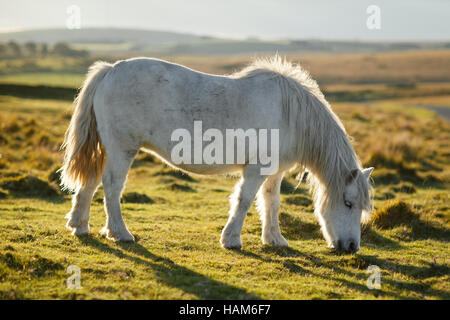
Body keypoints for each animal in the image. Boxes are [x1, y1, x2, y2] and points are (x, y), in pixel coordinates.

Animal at [61, 56, 374, 254]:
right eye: (348, 203)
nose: (351, 248)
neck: (290, 115)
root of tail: (111, 69)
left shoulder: (274, 172)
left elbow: (271, 203)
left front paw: (275, 239)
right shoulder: (255, 169)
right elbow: (244, 200)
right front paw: (231, 239)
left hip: (107, 149)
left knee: (91, 182)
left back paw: (80, 226)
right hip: (122, 149)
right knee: (112, 187)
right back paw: (120, 233)